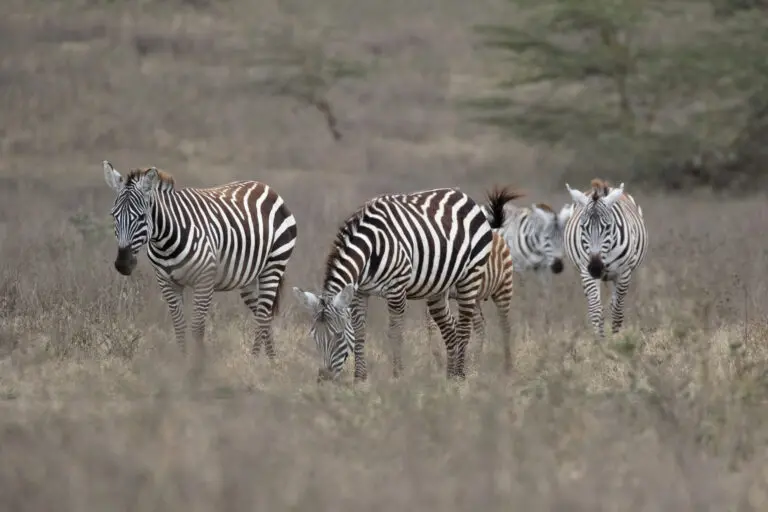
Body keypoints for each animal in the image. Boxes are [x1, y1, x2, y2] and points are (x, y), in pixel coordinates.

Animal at [102, 161, 298, 359]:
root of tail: (265, 187)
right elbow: (179, 325)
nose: (122, 264)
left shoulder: (204, 280)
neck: (165, 242)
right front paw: (182, 361)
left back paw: (255, 361)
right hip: (249, 278)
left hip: (274, 265)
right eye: (113, 215)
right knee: (263, 315)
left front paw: (198, 364)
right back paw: (271, 361)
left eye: (142, 216)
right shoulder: (166, 282)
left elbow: (197, 327)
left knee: (262, 315)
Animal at [292, 187, 495, 382]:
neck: (370, 249)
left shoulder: (397, 290)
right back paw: (450, 376)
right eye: (314, 337)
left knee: (465, 327)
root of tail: (463, 195)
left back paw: (460, 375)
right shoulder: (360, 292)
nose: (323, 379)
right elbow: (359, 331)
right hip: (438, 288)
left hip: (470, 276)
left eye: (338, 335)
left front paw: (398, 376)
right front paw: (360, 377)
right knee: (450, 327)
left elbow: (395, 333)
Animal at [425, 186, 521, 374]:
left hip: (503, 288)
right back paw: (476, 363)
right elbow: (432, 326)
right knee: (480, 326)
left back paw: (508, 367)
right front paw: (437, 360)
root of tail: (495, 234)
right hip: (475, 296)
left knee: (504, 326)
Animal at [563, 178, 648, 338]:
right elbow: (596, 310)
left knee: (615, 305)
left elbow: (617, 311)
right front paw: (599, 341)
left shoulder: (623, 274)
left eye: (608, 227)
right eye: (583, 227)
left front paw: (615, 340)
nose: (596, 268)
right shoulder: (586, 271)